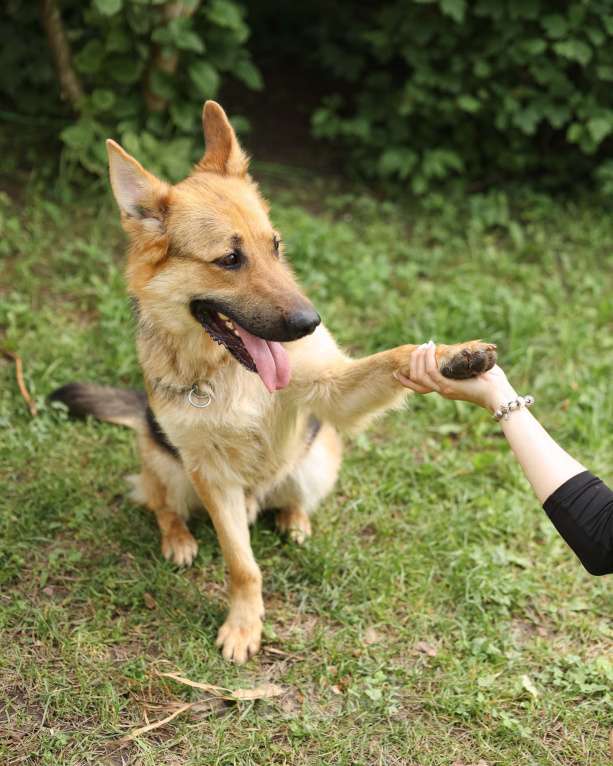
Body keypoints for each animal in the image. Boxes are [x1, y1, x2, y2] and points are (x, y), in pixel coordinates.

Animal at [50, 102, 494, 664]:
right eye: (229, 259)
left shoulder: (332, 390)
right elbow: (242, 564)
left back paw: (294, 519)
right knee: (159, 503)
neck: (226, 370)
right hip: (164, 460)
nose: (309, 322)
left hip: (319, 458)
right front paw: (244, 625)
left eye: (275, 246)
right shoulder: (212, 477)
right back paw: (178, 539)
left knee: (293, 496)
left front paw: (451, 358)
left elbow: (392, 359)